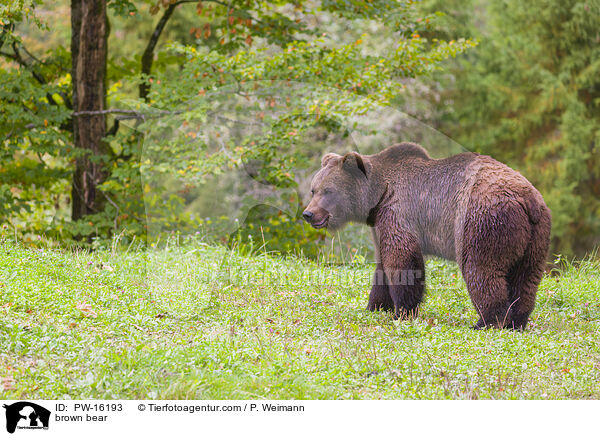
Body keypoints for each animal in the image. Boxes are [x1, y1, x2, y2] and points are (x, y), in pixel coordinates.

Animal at [302, 143, 552, 330]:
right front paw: (376, 305)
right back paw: (516, 321)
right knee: (525, 278)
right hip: (536, 236)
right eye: (314, 189)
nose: (308, 213)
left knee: (481, 270)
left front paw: (402, 312)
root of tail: (526, 199)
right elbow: (382, 265)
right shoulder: (381, 222)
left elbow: (403, 261)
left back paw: (487, 321)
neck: (379, 196)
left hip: (483, 223)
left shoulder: (399, 212)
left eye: (328, 191)